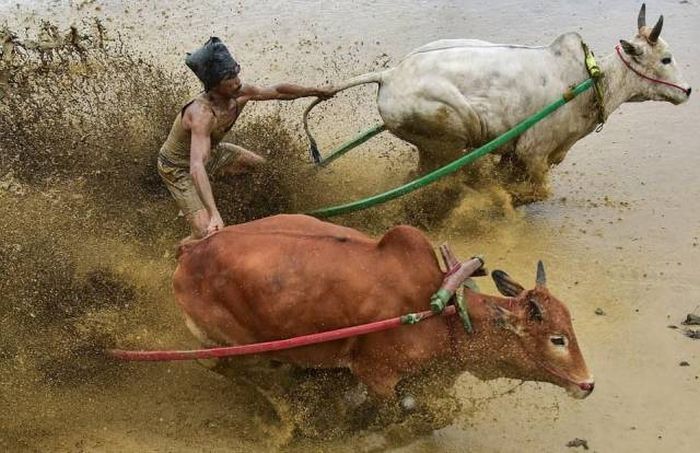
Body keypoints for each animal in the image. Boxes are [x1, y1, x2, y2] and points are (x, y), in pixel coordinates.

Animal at [172, 213, 592, 406]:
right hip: (230, 345)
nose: (588, 384)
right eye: (557, 339)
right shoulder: (378, 377)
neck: (444, 312)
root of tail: (190, 251)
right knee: (231, 369)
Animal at [304, 3, 688, 195]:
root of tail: (389, 75)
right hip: (449, 137)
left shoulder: (517, 154)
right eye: (666, 59)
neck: (588, 81)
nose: (687, 91)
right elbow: (535, 192)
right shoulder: (534, 153)